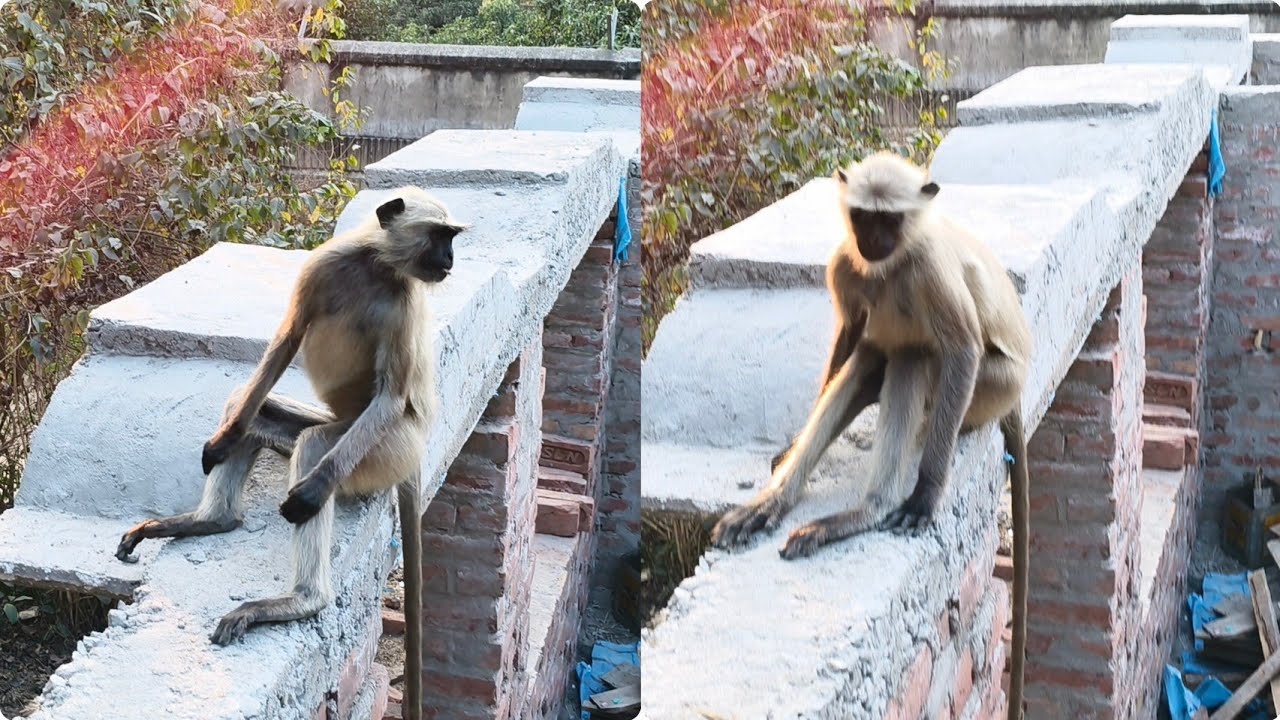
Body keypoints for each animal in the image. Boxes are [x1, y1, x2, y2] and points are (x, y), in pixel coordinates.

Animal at [114, 186, 463, 720]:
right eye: (439, 238)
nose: (449, 261)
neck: (375, 267)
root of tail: (416, 451)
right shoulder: (322, 267)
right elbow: (289, 337)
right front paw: (220, 443)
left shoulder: (405, 303)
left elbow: (388, 396)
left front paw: (311, 493)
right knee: (250, 406)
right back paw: (211, 517)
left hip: (383, 449)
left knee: (318, 445)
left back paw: (303, 599)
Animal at [708, 152, 1032, 720]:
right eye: (862, 217)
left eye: (890, 221)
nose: (873, 242)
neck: (892, 266)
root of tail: (1018, 388)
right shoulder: (846, 262)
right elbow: (851, 331)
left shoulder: (929, 269)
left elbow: (962, 348)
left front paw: (925, 494)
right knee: (869, 355)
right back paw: (774, 502)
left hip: (992, 387)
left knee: (914, 355)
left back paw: (868, 510)